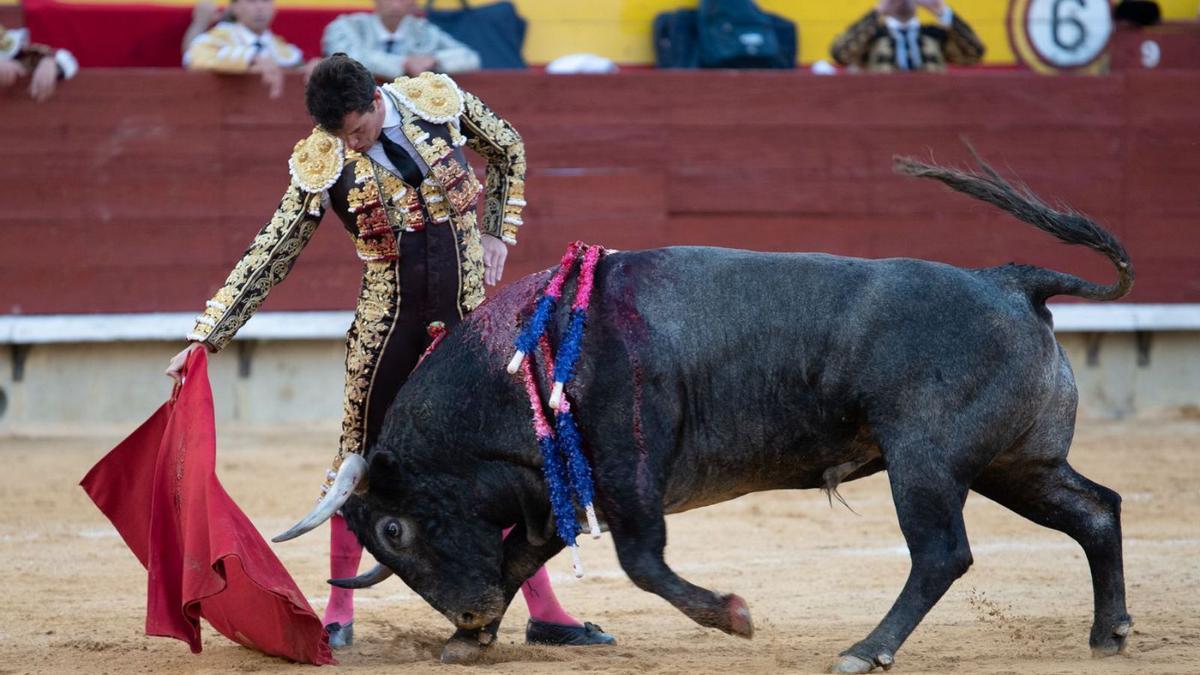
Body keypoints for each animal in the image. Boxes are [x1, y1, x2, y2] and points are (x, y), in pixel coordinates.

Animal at [272, 152, 1132, 667]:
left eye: (393, 529)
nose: (472, 609)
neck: (524, 355)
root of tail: (1007, 279)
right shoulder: (558, 486)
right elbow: (525, 554)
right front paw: (466, 639)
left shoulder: (629, 471)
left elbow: (640, 561)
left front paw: (732, 614)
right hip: (1015, 462)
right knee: (1096, 509)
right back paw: (1109, 631)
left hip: (923, 461)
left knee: (942, 553)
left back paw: (865, 648)